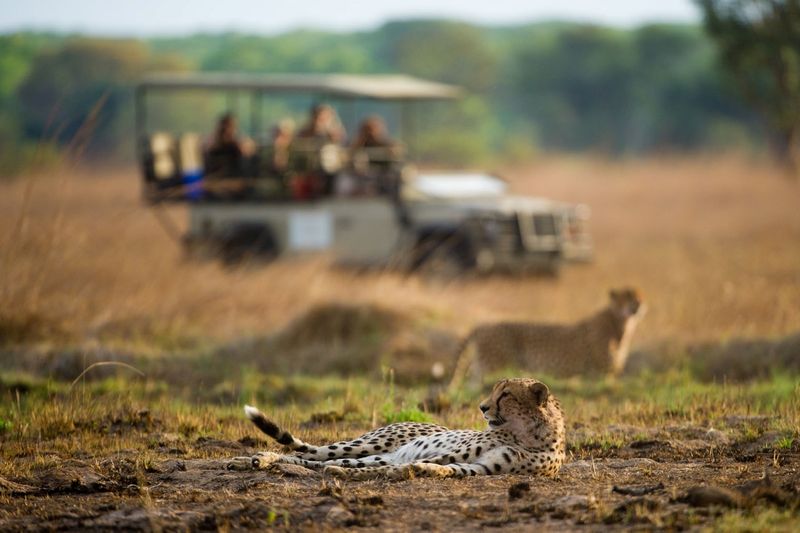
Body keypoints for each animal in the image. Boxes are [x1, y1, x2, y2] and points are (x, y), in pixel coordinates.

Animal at [231, 378, 565, 480]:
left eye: (505, 394)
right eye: (497, 391)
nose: (482, 407)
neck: (528, 434)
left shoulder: (483, 467)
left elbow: (447, 469)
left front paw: (421, 471)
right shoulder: (455, 453)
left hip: (376, 452)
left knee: (318, 461)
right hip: (368, 444)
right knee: (315, 454)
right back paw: (253, 458)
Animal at [446, 287, 645, 390]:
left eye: (640, 296)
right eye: (628, 296)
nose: (639, 303)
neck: (621, 323)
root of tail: (482, 324)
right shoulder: (601, 372)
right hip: (493, 363)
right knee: (475, 378)